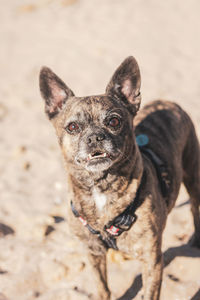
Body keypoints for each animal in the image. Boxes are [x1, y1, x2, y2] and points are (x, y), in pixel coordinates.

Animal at [39, 56, 200, 300]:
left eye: (114, 122)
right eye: (73, 127)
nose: (95, 137)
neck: (101, 188)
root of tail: (169, 103)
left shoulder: (152, 261)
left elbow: (149, 293)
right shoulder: (94, 253)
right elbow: (103, 288)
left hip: (193, 177)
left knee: (195, 207)